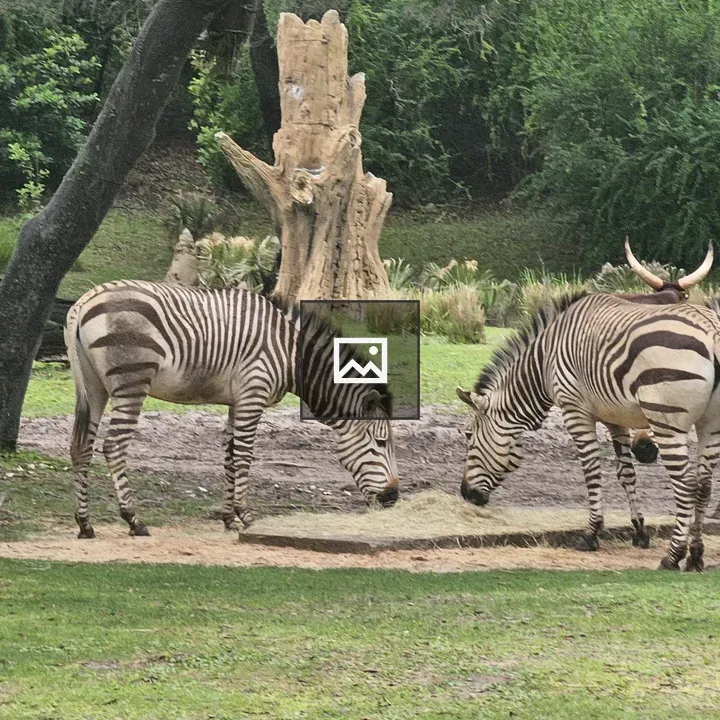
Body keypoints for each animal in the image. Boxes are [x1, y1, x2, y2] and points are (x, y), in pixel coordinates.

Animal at [64, 280, 399, 539]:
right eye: (381, 443)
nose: (393, 498)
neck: (290, 354)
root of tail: (83, 302)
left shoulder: (236, 401)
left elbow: (229, 456)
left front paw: (228, 518)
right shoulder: (253, 393)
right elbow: (244, 455)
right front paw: (246, 515)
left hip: (94, 386)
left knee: (81, 447)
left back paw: (85, 524)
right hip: (132, 381)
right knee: (113, 447)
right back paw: (134, 520)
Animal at [457, 291, 720, 571]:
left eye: (468, 435)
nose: (466, 495)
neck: (545, 359)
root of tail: (711, 328)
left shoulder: (575, 410)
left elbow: (591, 470)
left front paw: (591, 534)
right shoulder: (616, 418)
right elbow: (626, 473)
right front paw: (639, 532)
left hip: (666, 420)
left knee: (686, 484)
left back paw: (672, 556)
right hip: (710, 424)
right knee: (704, 485)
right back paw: (695, 556)